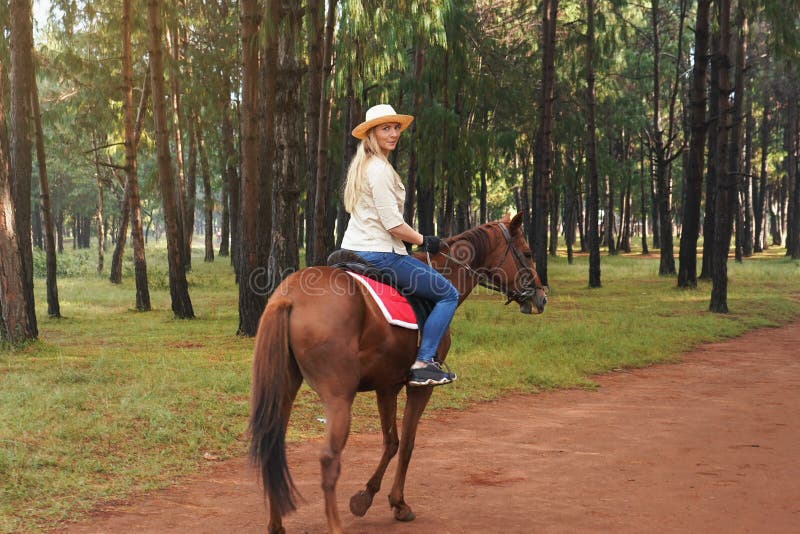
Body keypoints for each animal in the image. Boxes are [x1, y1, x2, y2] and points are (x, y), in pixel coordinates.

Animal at [252, 211, 552, 532]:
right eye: (527, 253)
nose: (541, 297)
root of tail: (290, 297)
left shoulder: (387, 385)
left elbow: (391, 441)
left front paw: (365, 497)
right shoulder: (420, 387)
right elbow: (407, 443)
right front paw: (398, 503)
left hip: (284, 387)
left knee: (272, 446)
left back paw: (276, 524)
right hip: (338, 395)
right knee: (329, 459)